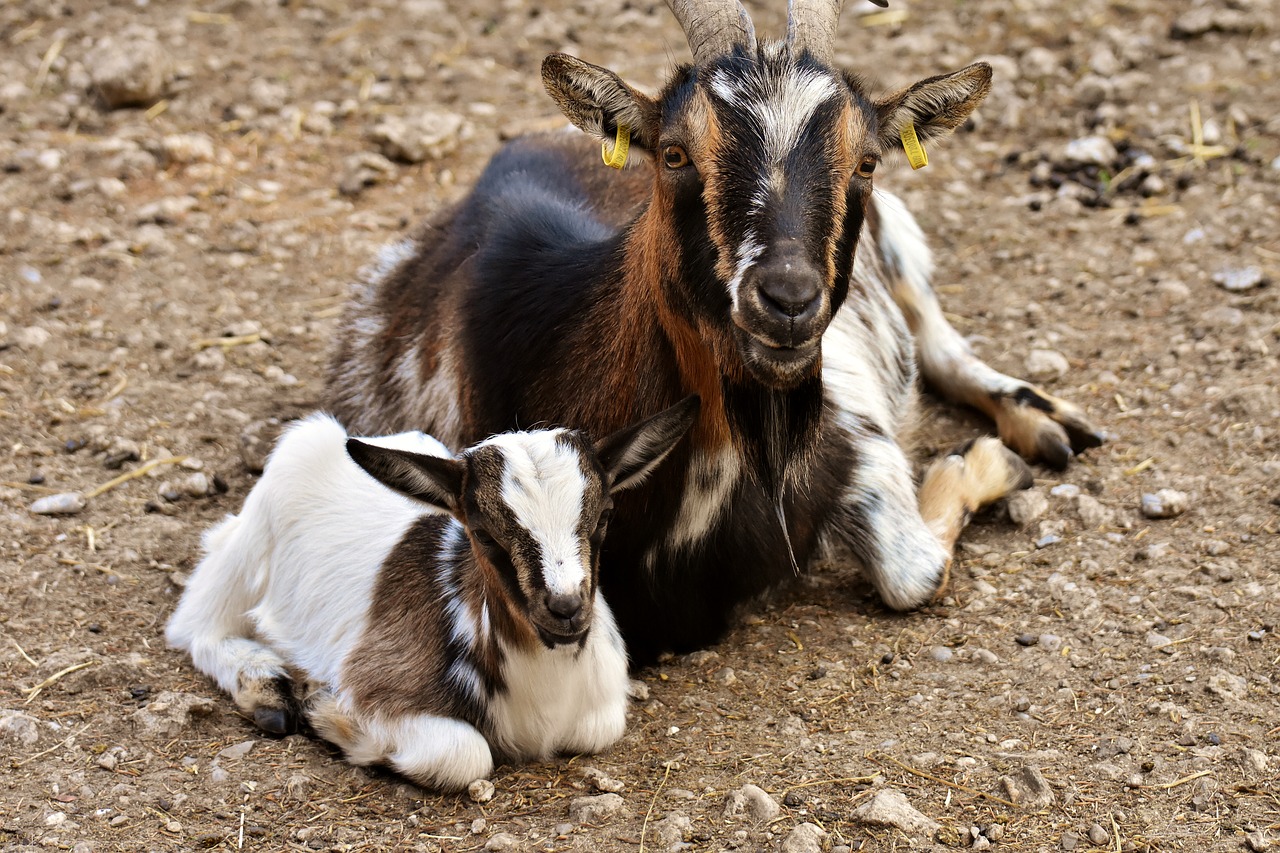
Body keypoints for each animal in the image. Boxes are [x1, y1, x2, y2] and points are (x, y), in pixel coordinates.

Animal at [170, 394, 701, 788]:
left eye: (604, 516)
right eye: (483, 532)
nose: (566, 608)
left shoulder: (600, 708)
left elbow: (598, 728)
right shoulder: (377, 680)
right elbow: (464, 754)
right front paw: (326, 714)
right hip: (243, 556)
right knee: (194, 625)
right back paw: (267, 689)